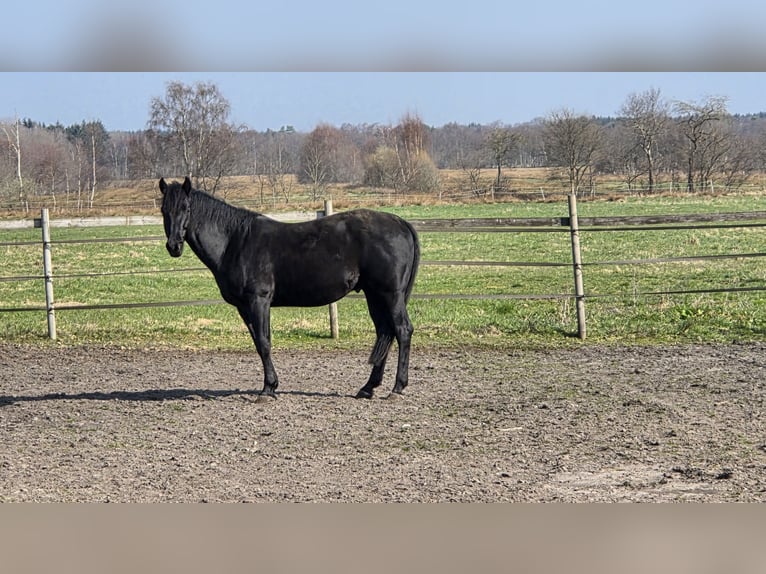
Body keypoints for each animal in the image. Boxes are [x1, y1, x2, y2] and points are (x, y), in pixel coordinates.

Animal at [159, 177, 420, 401]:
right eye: (163, 210)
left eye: (186, 207)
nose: (174, 246)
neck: (235, 241)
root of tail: (401, 223)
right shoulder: (244, 307)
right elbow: (259, 343)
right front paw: (271, 385)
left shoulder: (259, 301)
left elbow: (264, 342)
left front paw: (267, 389)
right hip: (374, 296)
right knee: (385, 332)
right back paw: (368, 387)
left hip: (391, 295)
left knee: (402, 330)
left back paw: (397, 388)